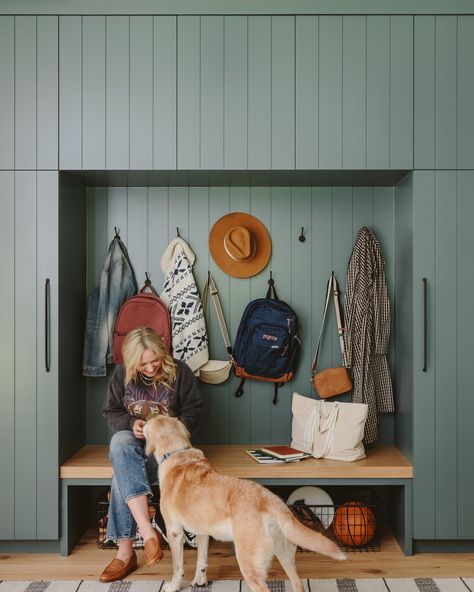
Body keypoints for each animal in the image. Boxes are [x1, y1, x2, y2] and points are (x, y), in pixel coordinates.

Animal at [143, 416, 344, 592]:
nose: (141, 423)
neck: (177, 452)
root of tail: (269, 500)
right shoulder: (203, 532)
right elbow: (202, 560)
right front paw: (200, 581)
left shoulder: (174, 532)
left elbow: (177, 567)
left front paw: (173, 586)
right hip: (286, 556)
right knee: (298, 584)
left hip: (250, 565)